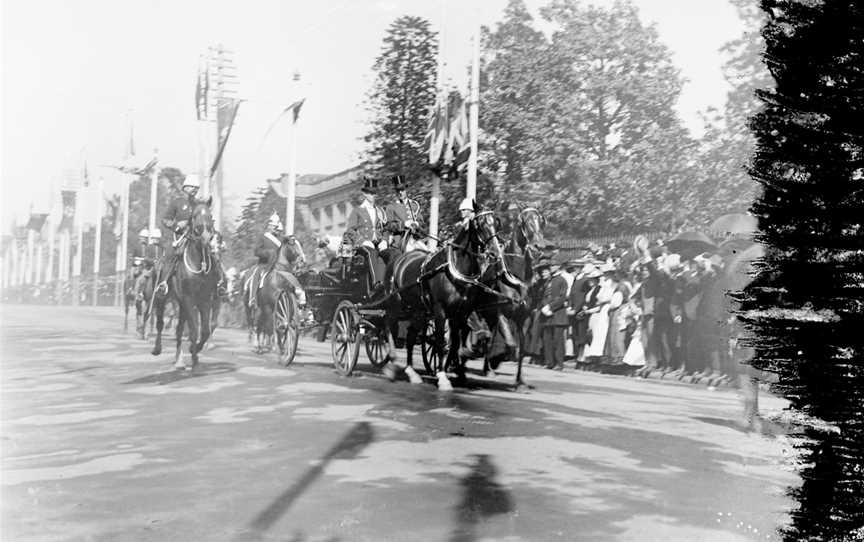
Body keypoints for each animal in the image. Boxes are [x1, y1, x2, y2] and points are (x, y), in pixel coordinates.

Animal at [148, 200, 218, 374]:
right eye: (194, 215)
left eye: (210, 215)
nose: (206, 237)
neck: (198, 261)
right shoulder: (189, 299)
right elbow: (193, 330)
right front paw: (195, 360)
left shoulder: (204, 300)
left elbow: (204, 331)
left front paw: (195, 351)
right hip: (162, 298)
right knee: (160, 323)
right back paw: (157, 348)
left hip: (180, 304)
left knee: (179, 329)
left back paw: (179, 360)